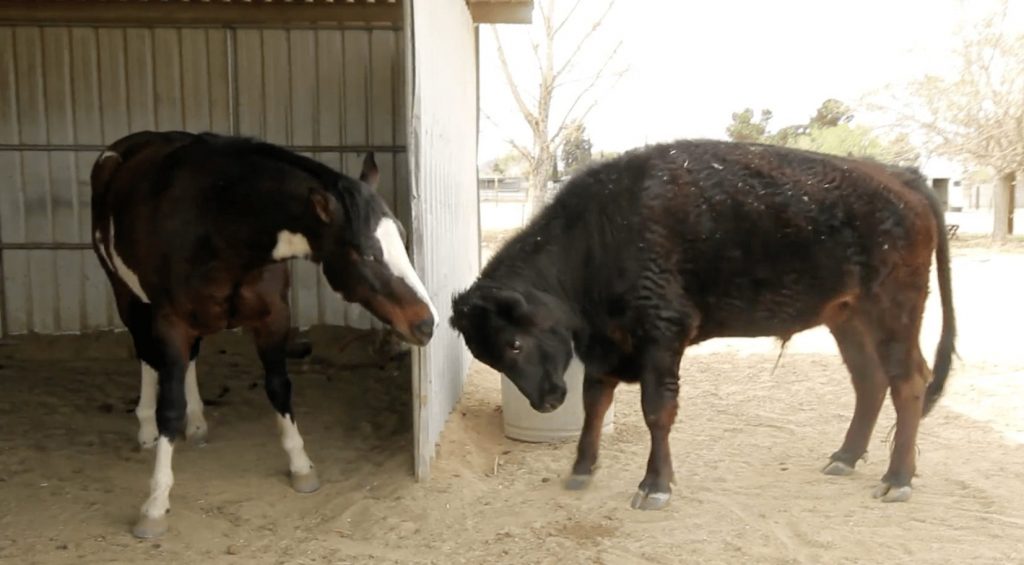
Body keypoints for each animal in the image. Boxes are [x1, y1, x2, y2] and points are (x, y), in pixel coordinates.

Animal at [90, 131, 437, 538]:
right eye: (366, 253)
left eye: (402, 235)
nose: (427, 323)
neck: (217, 221)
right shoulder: (171, 323)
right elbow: (169, 408)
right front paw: (155, 505)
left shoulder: (274, 318)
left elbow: (278, 388)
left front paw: (301, 466)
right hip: (127, 296)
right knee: (146, 354)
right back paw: (146, 427)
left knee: (190, 360)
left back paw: (198, 422)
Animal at [451, 139, 955, 511]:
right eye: (488, 356)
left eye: (514, 344)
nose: (547, 401)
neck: (598, 236)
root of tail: (902, 177)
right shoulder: (605, 348)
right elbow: (595, 402)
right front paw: (579, 471)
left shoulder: (661, 338)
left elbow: (657, 411)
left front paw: (654, 487)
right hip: (847, 318)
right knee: (870, 382)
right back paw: (844, 459)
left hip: (893, 311)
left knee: (908, 381)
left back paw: (896, 480)